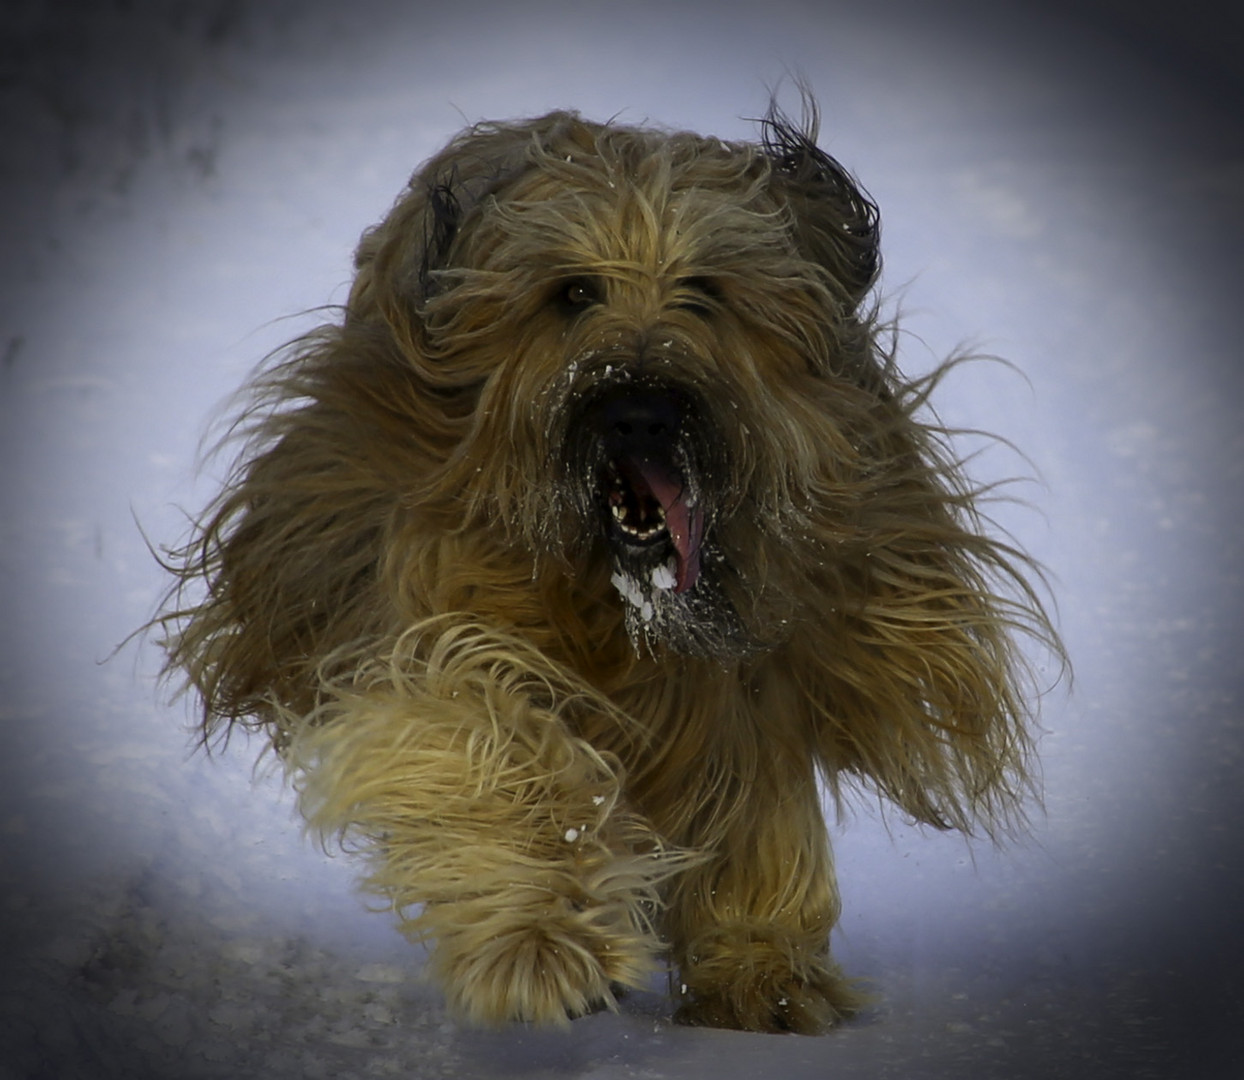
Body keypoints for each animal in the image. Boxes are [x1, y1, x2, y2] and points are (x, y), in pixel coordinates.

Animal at [157, 101, 1059, 1040]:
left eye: (705, 292)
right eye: (573, 292)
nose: (639, 412)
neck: (620, 600)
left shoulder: (752, 677)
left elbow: (755, 800)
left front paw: (761, 968)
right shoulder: (433, 606)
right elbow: (488, 742)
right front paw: (542, 942)